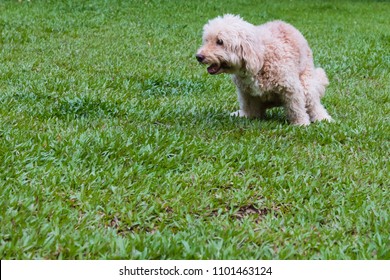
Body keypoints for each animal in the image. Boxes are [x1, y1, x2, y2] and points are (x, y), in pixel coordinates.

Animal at [197, 14, 330, 126]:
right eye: (206, 40)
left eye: (220, 41)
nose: (198, 56)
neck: (260, 58)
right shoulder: (245, 91)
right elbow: (248, 107)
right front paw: (247, 116)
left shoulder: (290, 88)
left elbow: (296, 108)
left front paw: (301, 123)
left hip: (307, 83)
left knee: (314, 104)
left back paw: (322, 118)